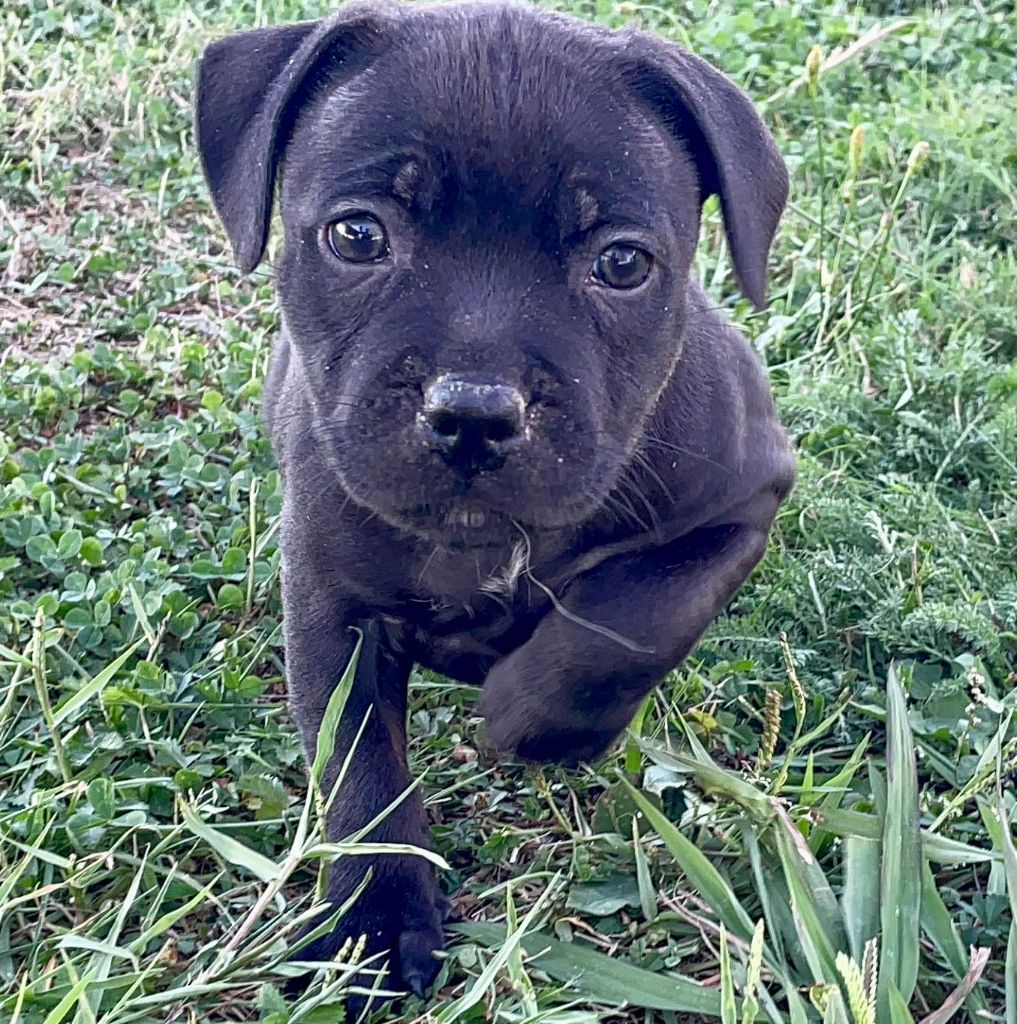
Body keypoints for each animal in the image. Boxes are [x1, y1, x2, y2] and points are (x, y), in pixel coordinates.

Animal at [192, 0, 794, 1003]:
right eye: (357, 236)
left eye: (622, 263)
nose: (473, 412)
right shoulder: (332, 606)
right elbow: (359, 768)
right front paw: (374, 922)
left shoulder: (741, 501)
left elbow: (639, 614)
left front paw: (535, 715)